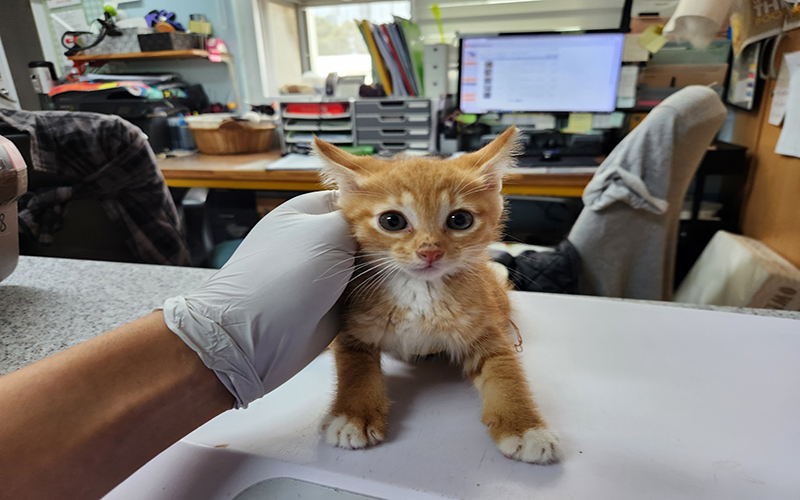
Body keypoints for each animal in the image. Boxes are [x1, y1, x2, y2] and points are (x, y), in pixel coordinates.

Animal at [316, 127, 560, 462]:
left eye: (460, 220)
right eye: (392, 221)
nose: (429, 251)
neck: (421, 293)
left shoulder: (486, 329)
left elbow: (506, 373)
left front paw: (525, 428)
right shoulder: (353, 328)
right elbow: (354, 369)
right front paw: (354, 415)